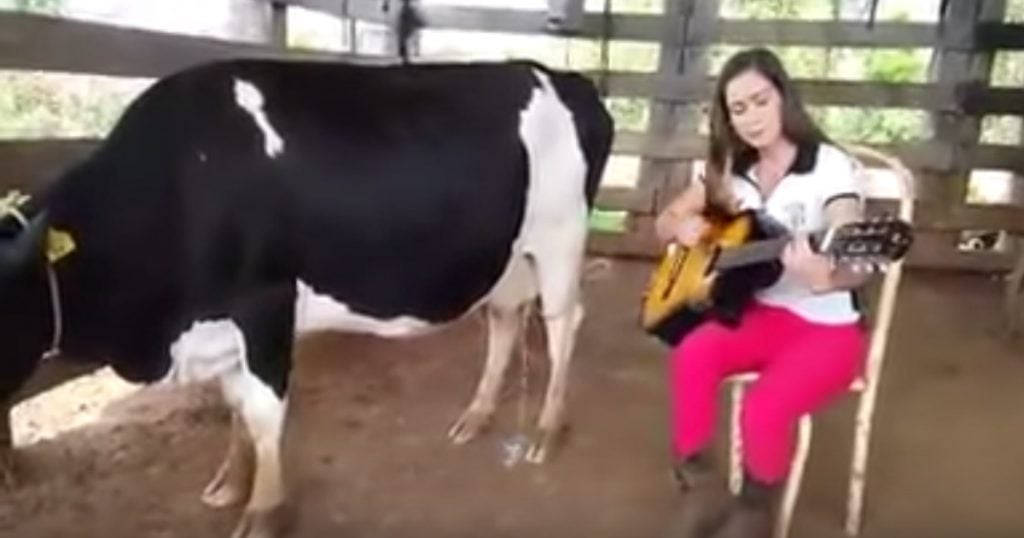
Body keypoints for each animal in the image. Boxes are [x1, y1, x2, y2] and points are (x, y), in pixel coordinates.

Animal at [0, 56, 610, 532]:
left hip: (560, 237)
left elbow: (265, 411)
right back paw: (477, 416)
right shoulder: (222, 326)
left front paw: (264, 511)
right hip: (505, 256)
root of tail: (560, 76)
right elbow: (236, 404)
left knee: (564, 323)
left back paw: (546, 431)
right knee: (506, 321)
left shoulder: (266, 304)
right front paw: (229, 482)